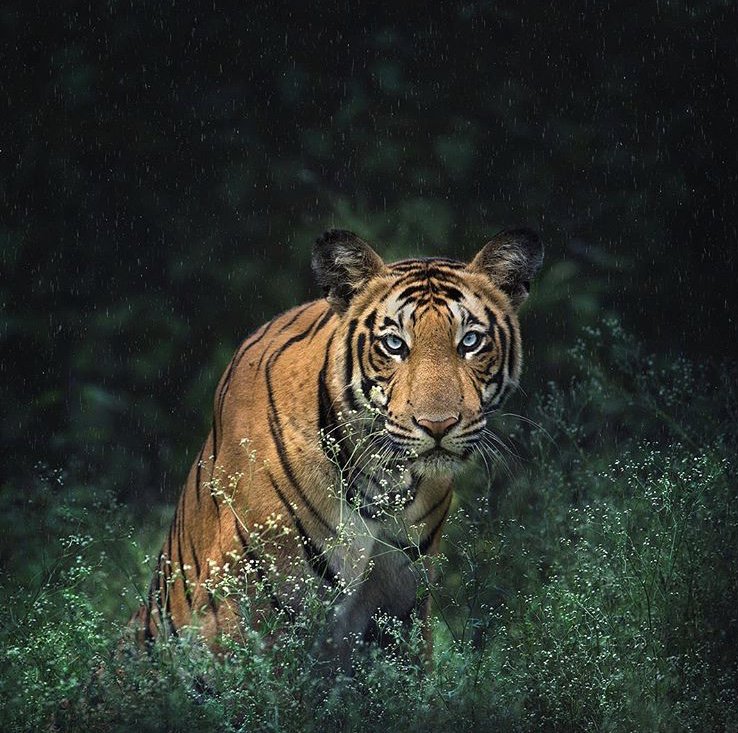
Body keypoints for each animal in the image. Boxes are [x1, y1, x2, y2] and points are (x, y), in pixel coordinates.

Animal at [132, 227, 543, 672]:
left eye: (470, 341)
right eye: (394, 344)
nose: (438, 425)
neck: (384, 481)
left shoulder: (400, 610)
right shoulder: (237, 613)